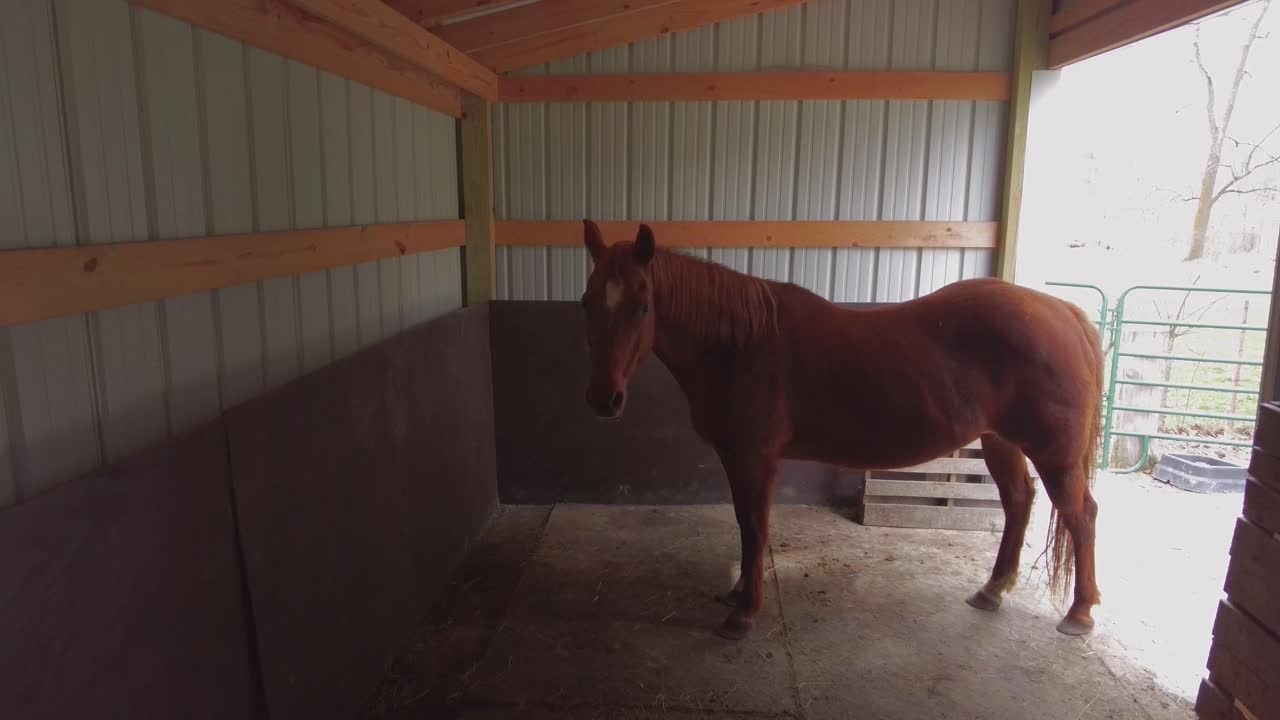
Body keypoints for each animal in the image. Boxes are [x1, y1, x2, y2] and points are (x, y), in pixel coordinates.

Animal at [577, 219, 1105, 641]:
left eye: (643, 305)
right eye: (586, 303)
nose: (604, 400)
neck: (740, 345)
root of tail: (1064, 313)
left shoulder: (755, 457)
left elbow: (755, 528)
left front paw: (744, 614)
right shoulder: (736, 457)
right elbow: (745, 525)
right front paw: (738, 592)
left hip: (1053, 453)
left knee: (1080, 515)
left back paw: (1079, 613)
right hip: (1001, 443)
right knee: (1019, 502)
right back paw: (992, 590)